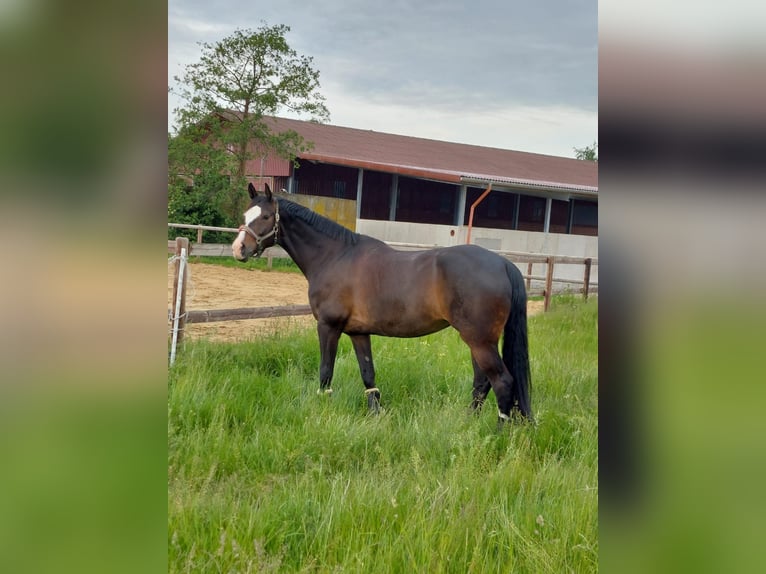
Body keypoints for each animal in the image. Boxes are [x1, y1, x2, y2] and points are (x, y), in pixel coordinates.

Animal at [232, 182, 532, 424]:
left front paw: (321, 409)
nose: (238, 249)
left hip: (479, 340)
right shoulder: (358, 332)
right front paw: (376, 414)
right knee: (482, 382)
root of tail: (503, 263)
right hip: (479, 341)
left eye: (266, 216)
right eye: (246, 215)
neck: (335, 256)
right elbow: (368, 373)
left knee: (502, 382)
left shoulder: (329, 327)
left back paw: (498, 431)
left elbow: (325, 372)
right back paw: (468, 422)